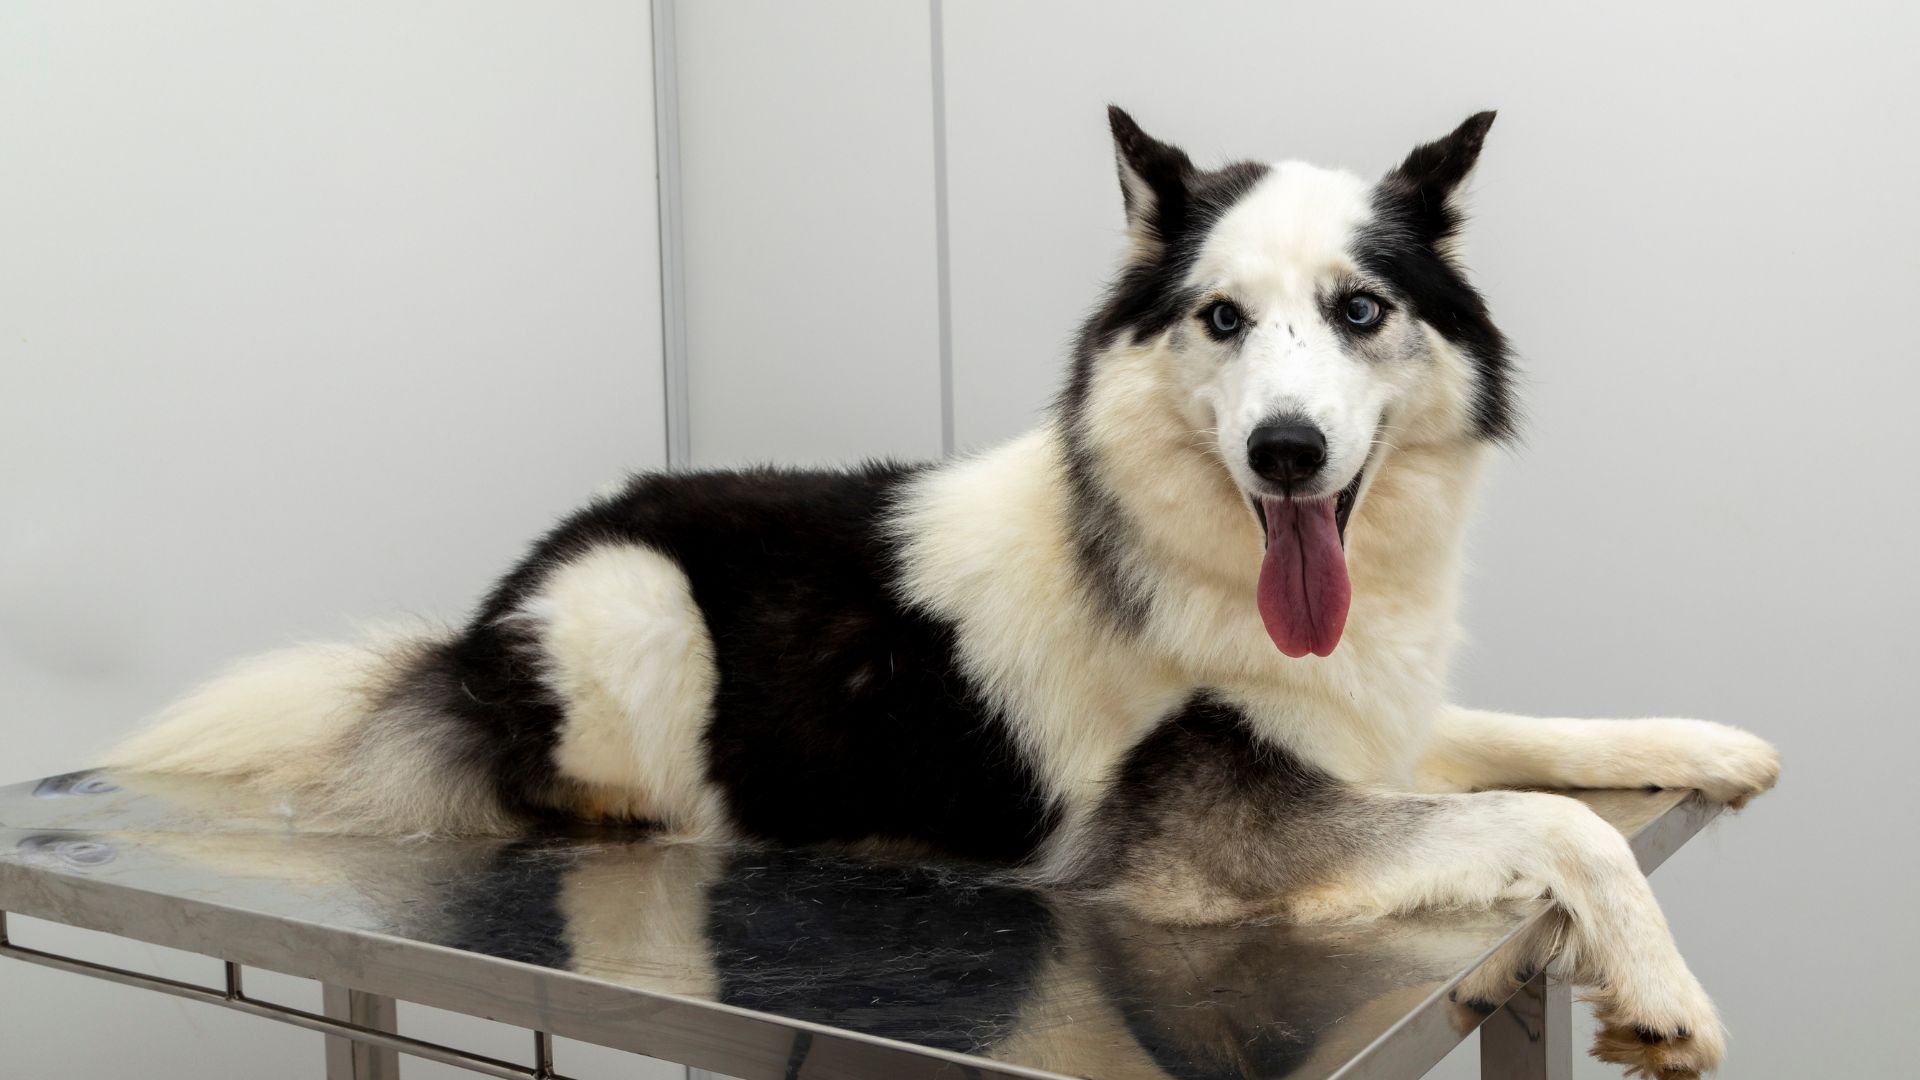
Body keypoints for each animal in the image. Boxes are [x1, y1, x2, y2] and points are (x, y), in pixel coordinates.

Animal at [108, 105, 1781, 1068]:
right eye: (1222, 319)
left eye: (1359, 310)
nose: (1289, 451)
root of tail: (470, 626)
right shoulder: (1222, 842)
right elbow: (1558, 825)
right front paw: (1663, 989)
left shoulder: (1374, 725)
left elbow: (1542, 747)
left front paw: (1709, 746)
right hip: (635, 612)